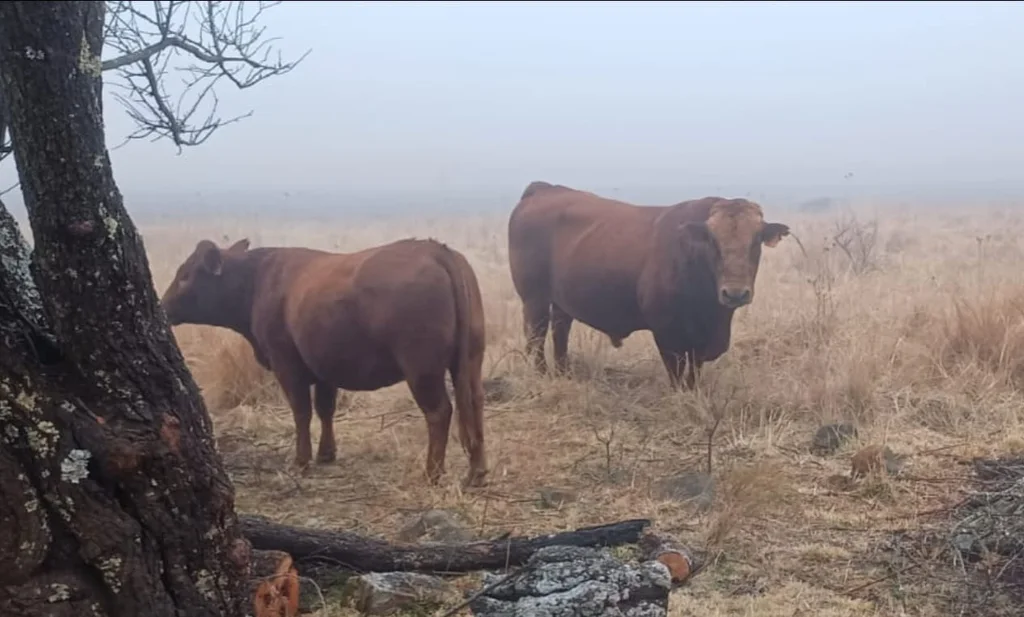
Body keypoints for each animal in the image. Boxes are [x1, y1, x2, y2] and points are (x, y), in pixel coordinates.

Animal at [160, 237, 488, 488]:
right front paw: (326, 454)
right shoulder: (325, 367)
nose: (163, 307)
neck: (258, 281)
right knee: (473, 404)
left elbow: (302, 411)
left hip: (421, 368)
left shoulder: (286, 363)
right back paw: (477, 473)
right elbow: (325, 409)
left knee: (439, 412)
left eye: (186, 276)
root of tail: (435, 249)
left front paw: (301, 460)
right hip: (470, 361)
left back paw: (432, 473)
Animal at [507, 181, 790, 389]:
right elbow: (676, 371)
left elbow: (694, 371)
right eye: (712, 240)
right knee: (536, 337)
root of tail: (545, 189)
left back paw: (564, 373)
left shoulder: (701, 340)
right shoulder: (666, 332)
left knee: (560, 332)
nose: (734, 293)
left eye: (756, 240)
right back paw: (543, 375)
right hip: (534, 300)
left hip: (561, 302)